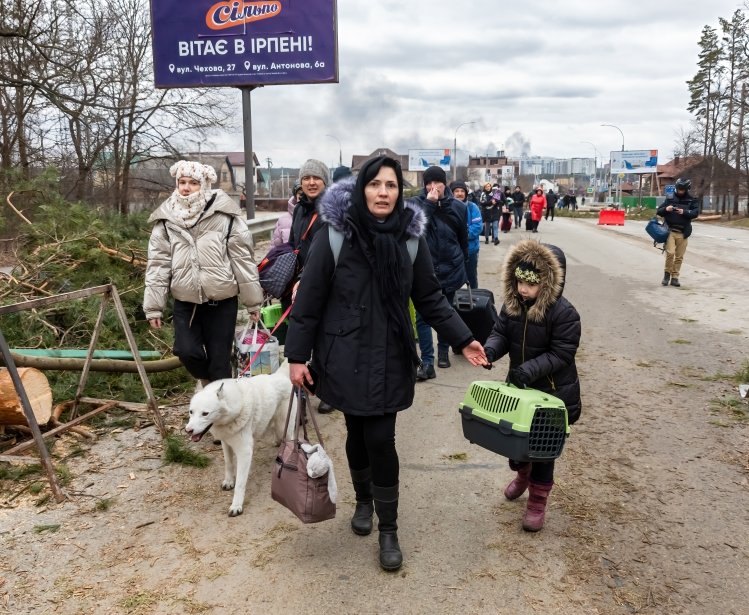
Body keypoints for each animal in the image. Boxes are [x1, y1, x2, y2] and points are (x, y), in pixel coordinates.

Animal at [184, 360, 292, 516]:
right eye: (191, 412)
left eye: (205, 413)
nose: (188, 430)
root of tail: (280, 375)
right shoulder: (226, 443)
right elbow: (228, 464)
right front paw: (229, 482)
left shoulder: (244, 452)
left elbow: (240, 483)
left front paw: (236, 506)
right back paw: (277, 443)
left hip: (285, 426)